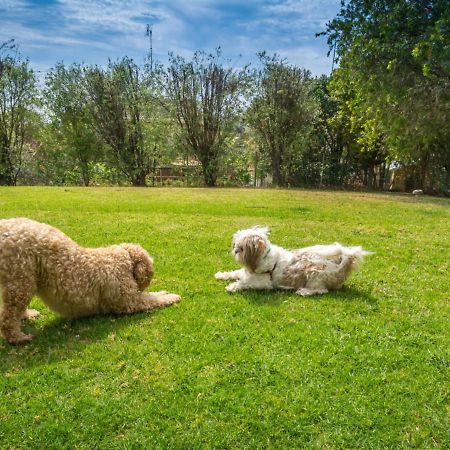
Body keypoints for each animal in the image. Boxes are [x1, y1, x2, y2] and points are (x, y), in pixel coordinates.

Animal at [1, 218, 181, 344]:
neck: (124, 259)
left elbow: (153, 295)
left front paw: (163, 292)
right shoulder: (130, 302)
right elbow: (153, 300)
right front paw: (171, 297)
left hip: (22, 281)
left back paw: (26, 315)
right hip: (22, 279)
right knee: (8, 316)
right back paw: (18, 338)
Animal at [216, 229, 370, 296]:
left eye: (241, 249)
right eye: (235, 245)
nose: (235, 250)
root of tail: (343, 263)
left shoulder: (263, 283)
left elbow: (244, 283)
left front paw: (233, 286)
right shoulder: (245, 272)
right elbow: (234, 273)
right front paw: (221, 275)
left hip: (315, 274)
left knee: (321, 290)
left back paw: (304, 291)